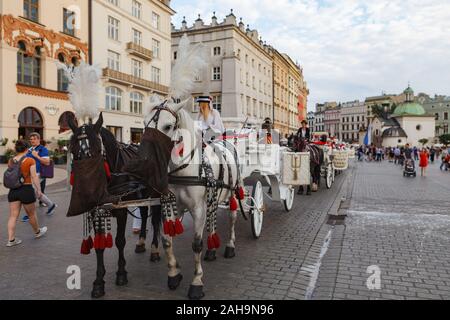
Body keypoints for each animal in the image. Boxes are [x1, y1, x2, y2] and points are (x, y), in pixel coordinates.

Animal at [146, 102, 243, 300]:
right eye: (145, 123)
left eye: (168, 126)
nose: (146, 158)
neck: (185, 169)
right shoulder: (171, 206)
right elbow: (166, 240)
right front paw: (174, 274)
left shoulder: (198, 209)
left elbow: (196, 245)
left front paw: (197, 282)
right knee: (212, 222)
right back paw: (212, 250)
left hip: (233, 193)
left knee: (232, 219)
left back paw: (230, 246)